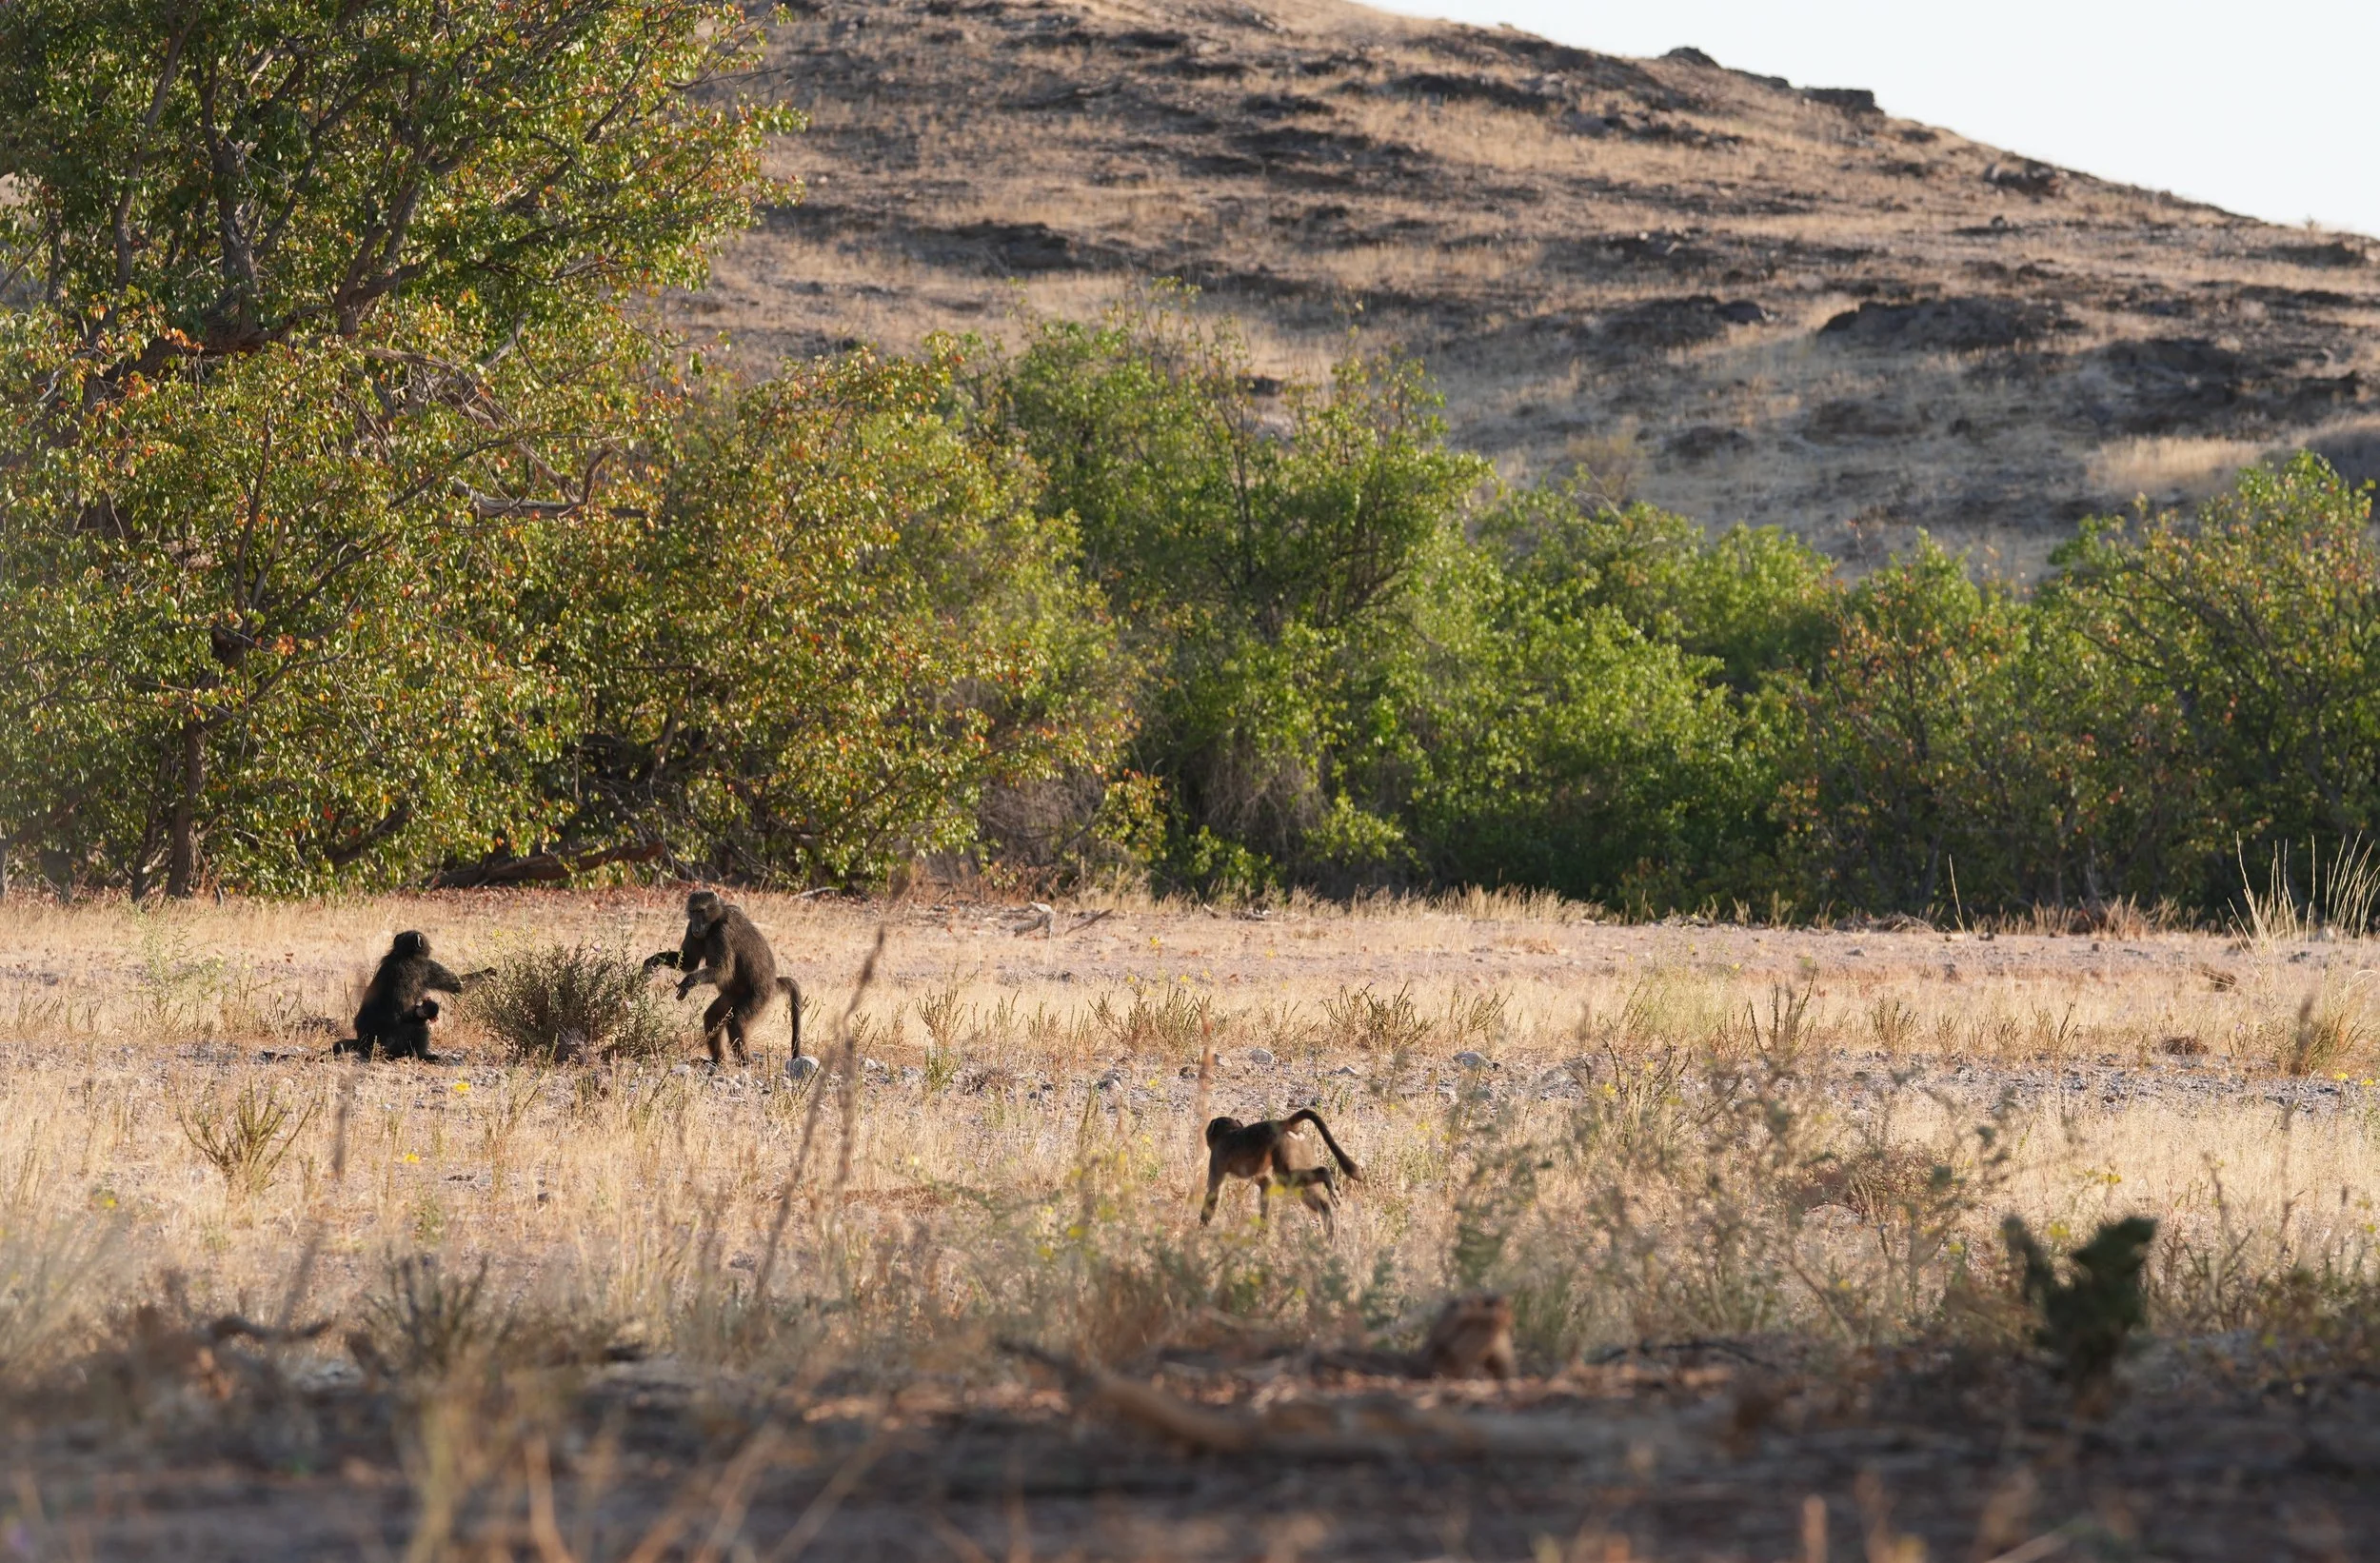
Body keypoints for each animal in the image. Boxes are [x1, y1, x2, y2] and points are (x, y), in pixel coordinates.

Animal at [333, 932, 480, 1060]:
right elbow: (458, 985)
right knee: (419, 1027)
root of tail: (363, 1042)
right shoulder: (425, 966)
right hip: (387, 1042)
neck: (404, 953)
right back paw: (421, 1055)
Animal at [643, 890, 800, 1066]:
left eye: (701, 911)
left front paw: (688, 982)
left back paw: (747, 1062)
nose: (697, 928)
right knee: (713, 1017)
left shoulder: (723, 931)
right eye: (693, 911)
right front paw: (652, 961)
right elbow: (688, 962)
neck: (715, 920)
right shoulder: (690, 927)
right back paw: (718, 1060)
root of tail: (773, 983)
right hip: (731, 995)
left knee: (737, 1021)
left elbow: (724, 971)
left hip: (759, 997)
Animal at [1199, 1108, 1362, 1235]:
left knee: (1287, 1178)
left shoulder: (1217, 1157)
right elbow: (1265, 1184)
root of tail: (1284, 1123)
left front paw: (1200, 1232)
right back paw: (1329, 1226)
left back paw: (1325, 1175)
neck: (1227, 1133)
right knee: (1308, 1192)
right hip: (1299, 1144)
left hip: (1284, 1145)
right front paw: (1262, 1233)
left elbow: (1213, 1195)